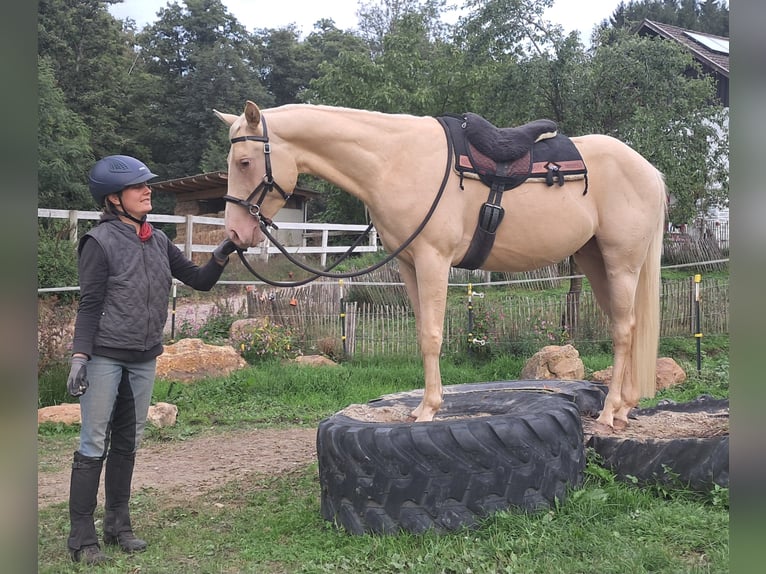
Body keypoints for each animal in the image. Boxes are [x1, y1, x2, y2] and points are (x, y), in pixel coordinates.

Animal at [214, 101, 667, 430]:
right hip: (595, 261)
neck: (394, 160)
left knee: (624, 331)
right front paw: (422, 407)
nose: (235, 233)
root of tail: (649, 171)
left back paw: (609, 412)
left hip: (622, 262)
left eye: (244, 162)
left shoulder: (434, 260)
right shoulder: (409, 265)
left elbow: (432, 336)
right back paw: (624, 407)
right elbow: (420, 333)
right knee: (626, 325)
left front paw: (430, 409)